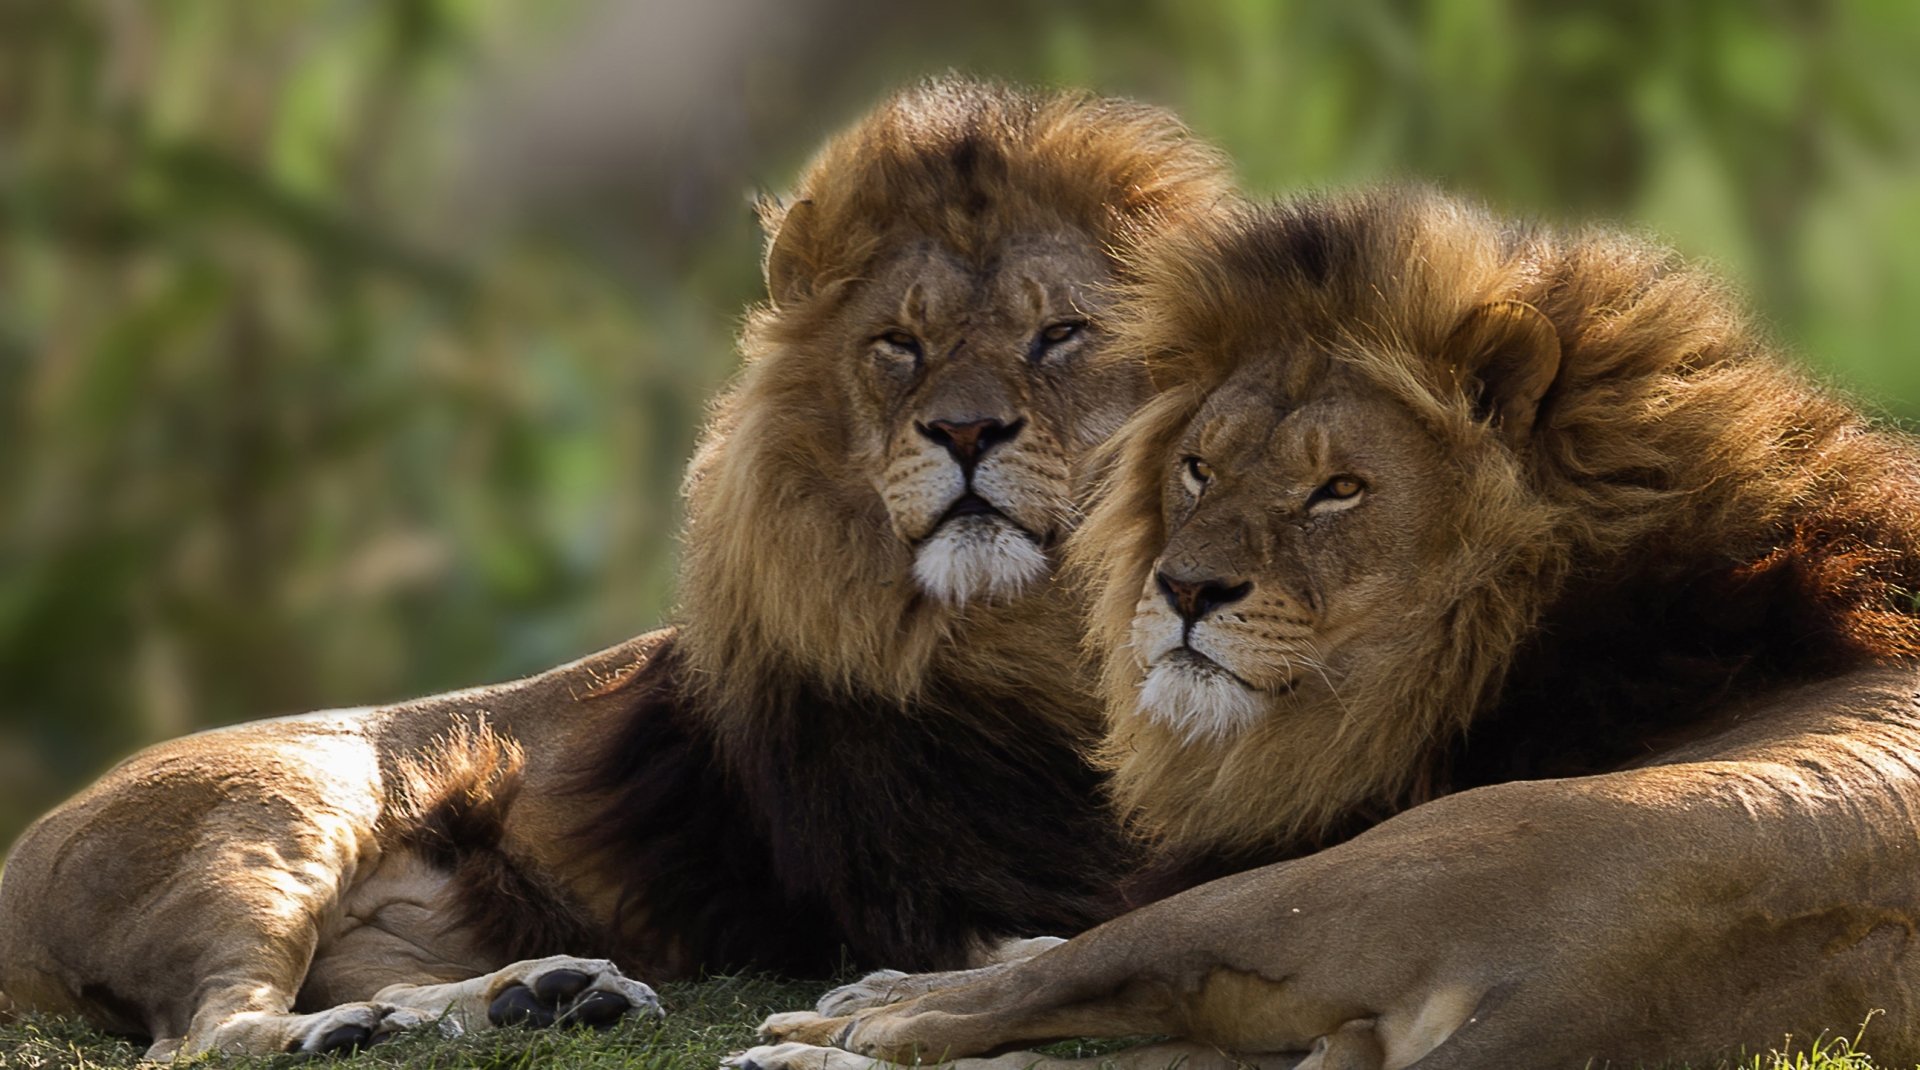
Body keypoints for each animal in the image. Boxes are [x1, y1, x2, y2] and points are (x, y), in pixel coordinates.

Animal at [0, 78, 1233, 1058]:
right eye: (900, 344)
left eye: (1059, 334)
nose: (966, 431)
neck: (1032, 632)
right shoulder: (924, 885)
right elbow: (1080, 931)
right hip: (286, 808)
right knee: (205, 1033)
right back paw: (346, 1028)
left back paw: (532, 994)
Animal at [737, 187, 1920, 1070]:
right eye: (1198, 468)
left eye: (1339, 490)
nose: (1183, 589)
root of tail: (1599, 974)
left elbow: (1038, 959)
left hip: (1308, 888)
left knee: (1009, 1002)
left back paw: (839, 1026)